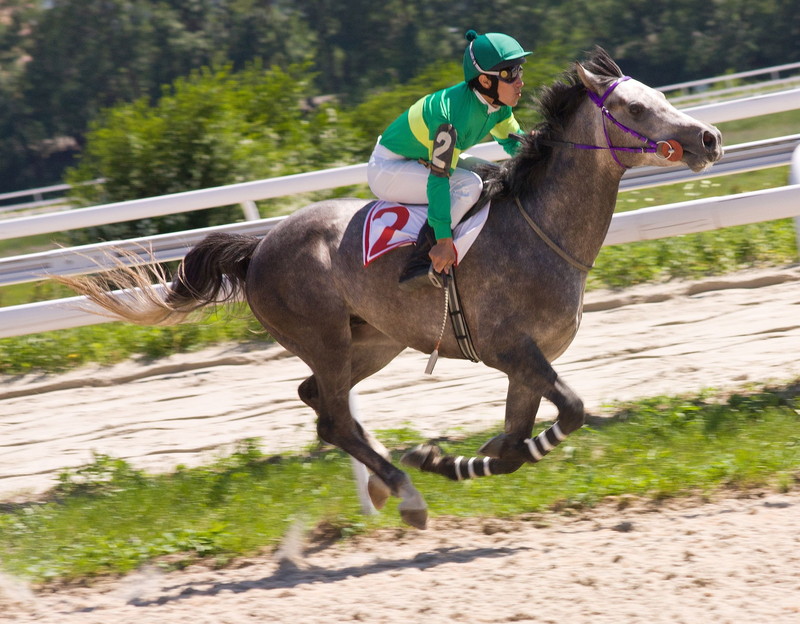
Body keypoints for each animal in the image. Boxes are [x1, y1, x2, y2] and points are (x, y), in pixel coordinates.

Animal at [59, 47, 724, 532]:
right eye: (634, 108)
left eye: (662, 97)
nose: (710, 139)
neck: (543, 229)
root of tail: (260, 246)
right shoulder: (514, 351)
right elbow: (572, 412)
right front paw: (436, 461)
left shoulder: (528, 362)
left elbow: (513, 442)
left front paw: (448, 458)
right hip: (326, 338)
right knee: (334, 418)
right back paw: (403, 494)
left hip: (375, 341)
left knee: (320, 403)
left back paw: (386, 480)